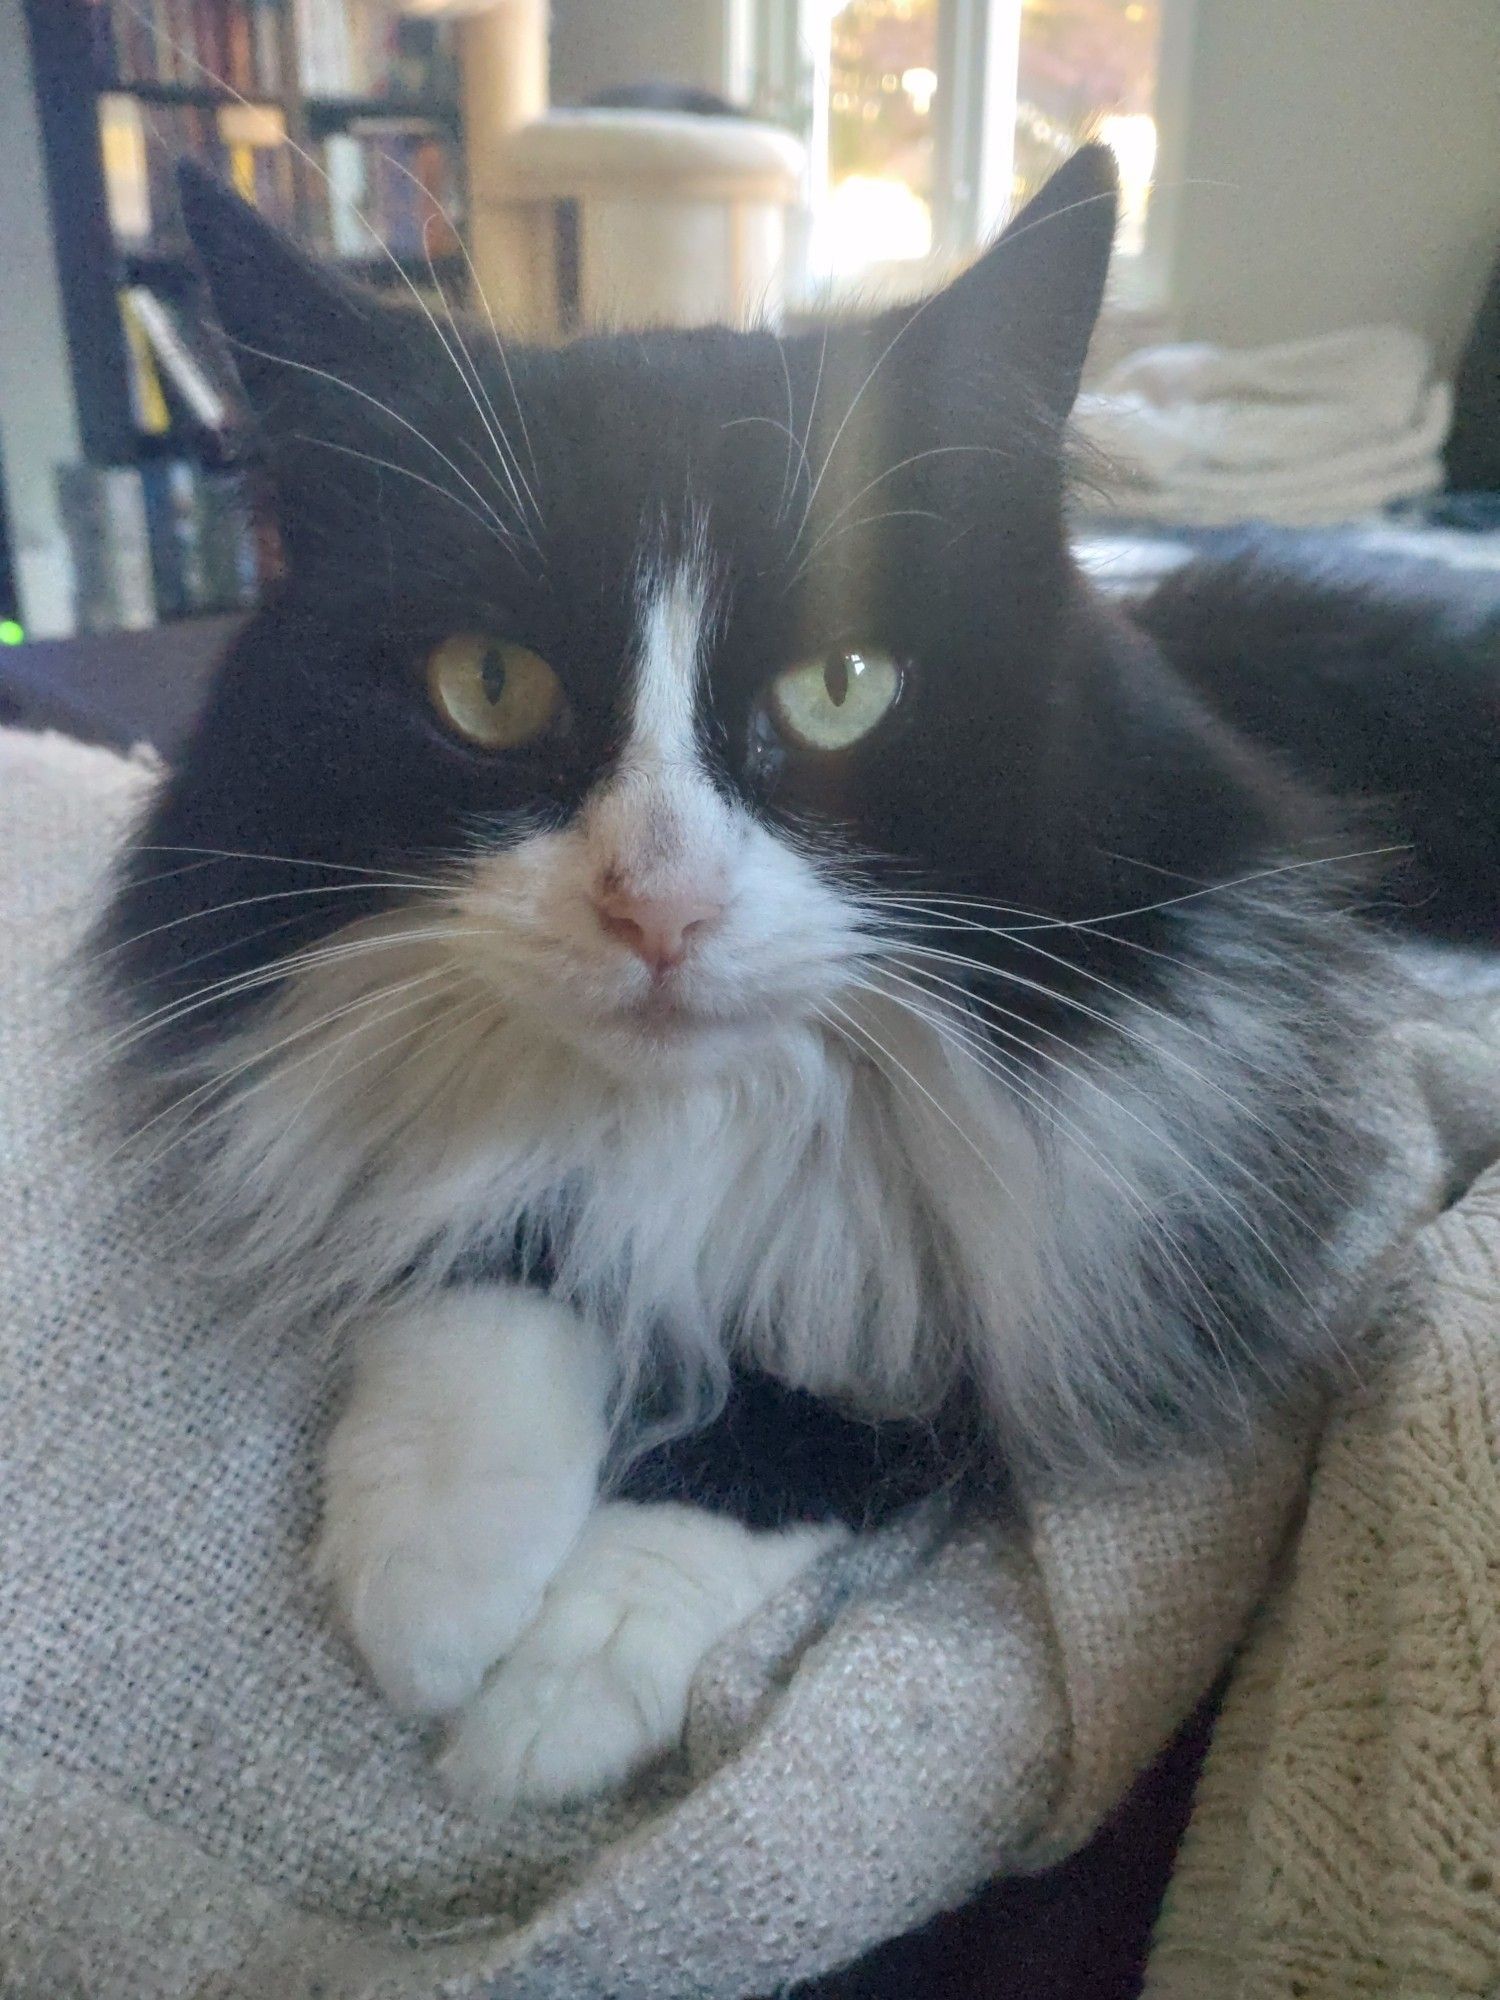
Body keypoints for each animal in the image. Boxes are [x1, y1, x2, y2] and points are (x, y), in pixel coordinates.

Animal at [100, 145, 1496, 1816]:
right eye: (488, 686)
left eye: (845, 688)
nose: (657, 910)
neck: (707, 1124)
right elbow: (484, 1236)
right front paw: (437, 1576)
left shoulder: (1092, 1225)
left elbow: (818, 1413)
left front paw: (558, 1688)